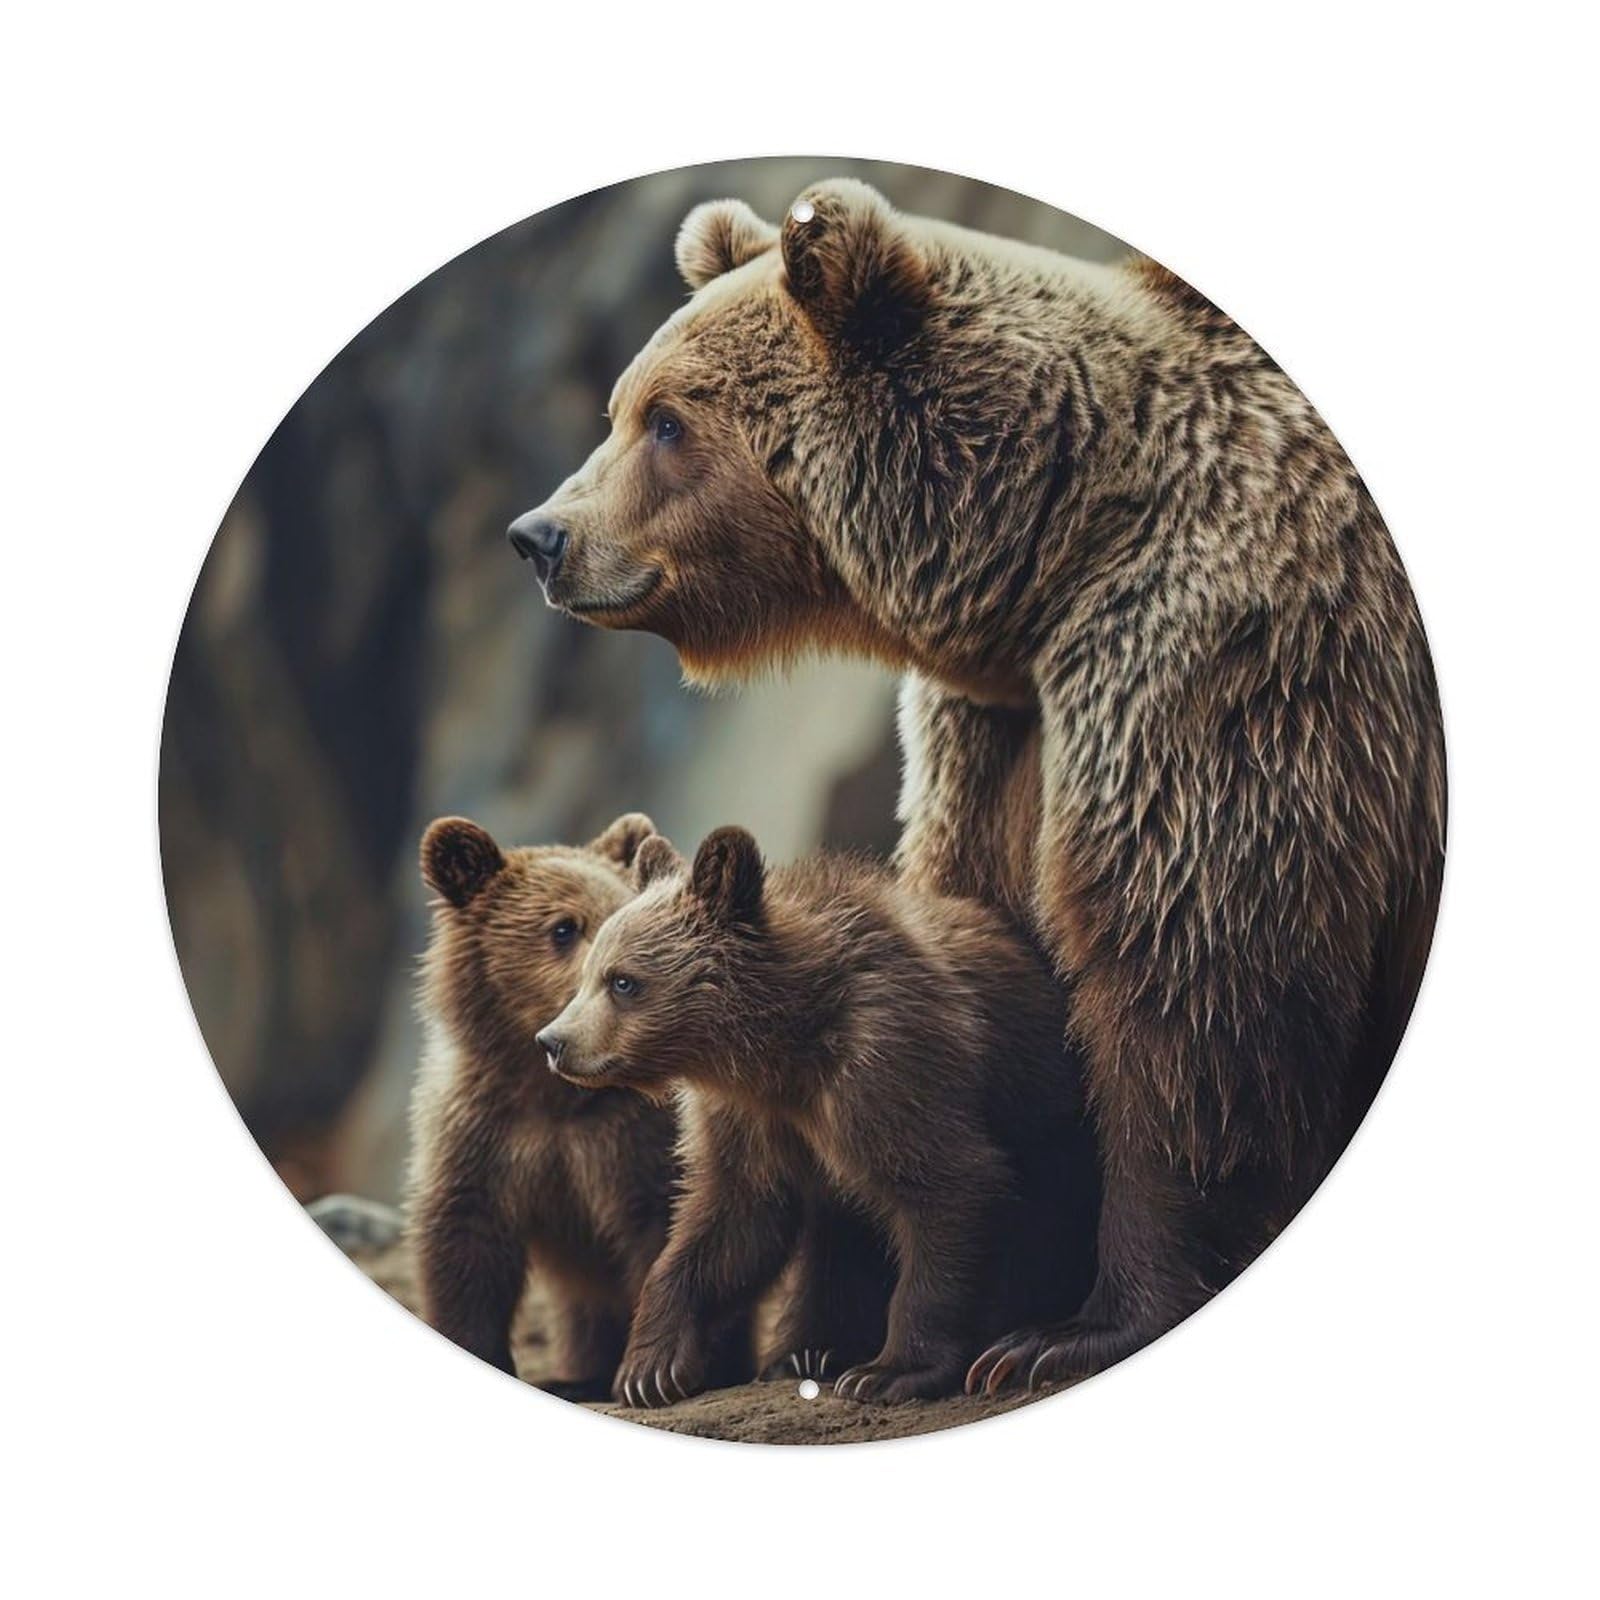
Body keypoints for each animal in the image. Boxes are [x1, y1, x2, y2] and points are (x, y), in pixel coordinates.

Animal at [408, 811, 685, 1397]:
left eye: (625, 914)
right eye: (563, 927)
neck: (555, 1094)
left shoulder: (631, 1138)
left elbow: (666, 1224)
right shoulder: (481, 1132)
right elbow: (464, 1246)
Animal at [535, 827, 1100, 1405]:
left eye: (623, 982)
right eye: (589, 975)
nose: (554, 1041)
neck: (785, 1047)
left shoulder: (891, 1066)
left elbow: (950, 1187)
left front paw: (889, 1370)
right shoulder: (750, 1117)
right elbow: (733, 1220)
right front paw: (649, 1367)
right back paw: (807, 1353)